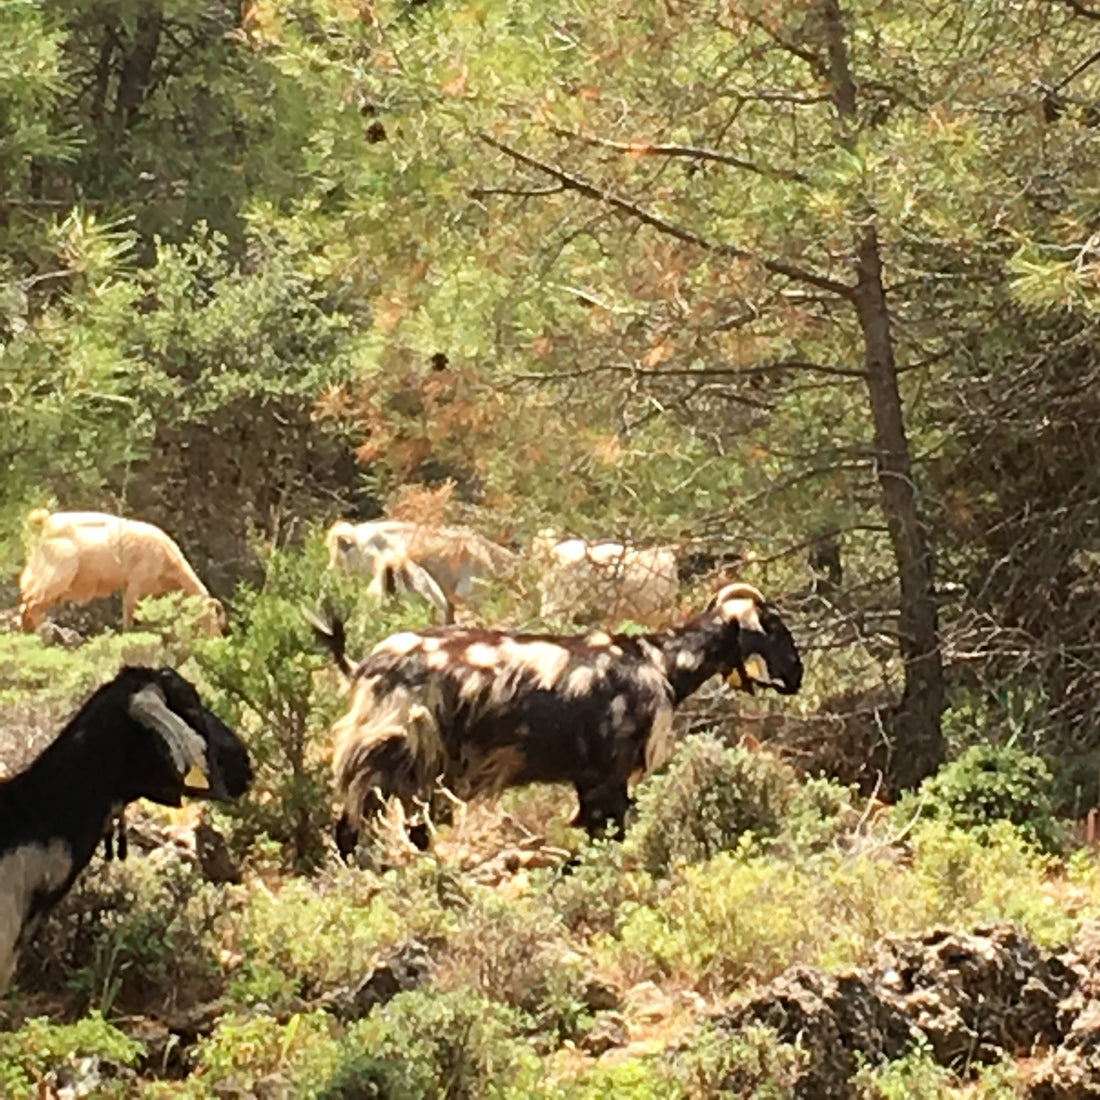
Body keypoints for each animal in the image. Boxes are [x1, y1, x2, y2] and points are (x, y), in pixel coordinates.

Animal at [19, 510, 225, 635]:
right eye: (210, 617)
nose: (215, 638)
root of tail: (43, 523)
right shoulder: (136, 581)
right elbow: (129, 611)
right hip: (59, 572)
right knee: (32, 602)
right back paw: (42, 629)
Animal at [317, 582, 802, 854]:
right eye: (775, 626)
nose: (796, 674)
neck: (658, 661)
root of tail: (363, 666)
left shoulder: (589, 779)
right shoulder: (610, 777)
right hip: (388, 754)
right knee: (351, 827)